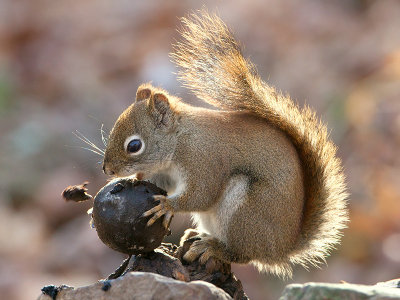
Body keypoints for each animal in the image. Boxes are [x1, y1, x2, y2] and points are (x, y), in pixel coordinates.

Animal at [101, 12, 348, 278]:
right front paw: (134, 179)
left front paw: (167, 205)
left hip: (245, 211)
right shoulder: (167, 173)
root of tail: (281, 248)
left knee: (241, 254)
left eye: (134, 145)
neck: (179, 140)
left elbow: (202, 194)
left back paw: (213, 248)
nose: (107, 170)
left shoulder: (203, 159)